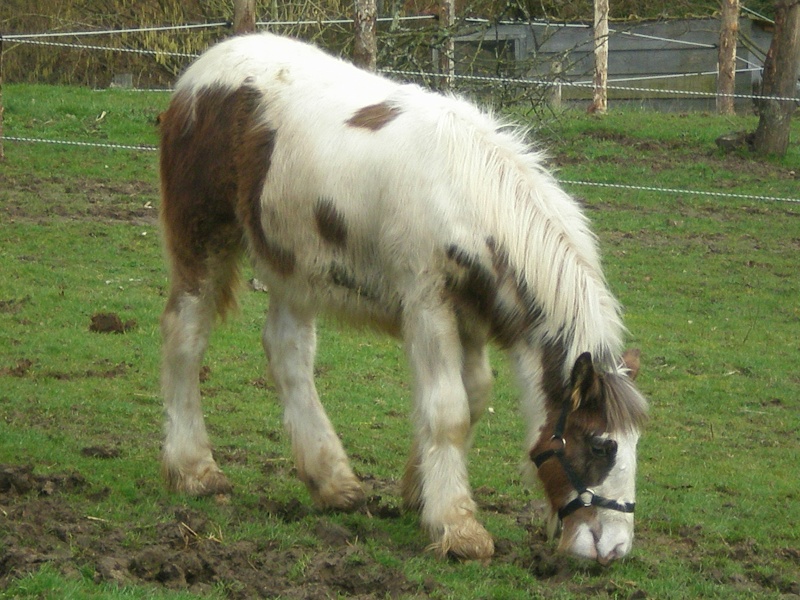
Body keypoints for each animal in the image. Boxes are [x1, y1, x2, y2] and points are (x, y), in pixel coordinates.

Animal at [159, 32, 648, 564]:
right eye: (599, 445)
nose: (614, 548)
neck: (465, 195)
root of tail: (199, 73)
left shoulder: (469, 315)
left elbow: (473, 396)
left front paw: (420, 493)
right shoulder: (428, 305)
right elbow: (449, 409)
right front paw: (458, 528)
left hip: (295, 263)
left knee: (287, 352)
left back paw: (332, 482)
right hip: (203, 238)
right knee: (185, 338)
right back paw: (194, 470)